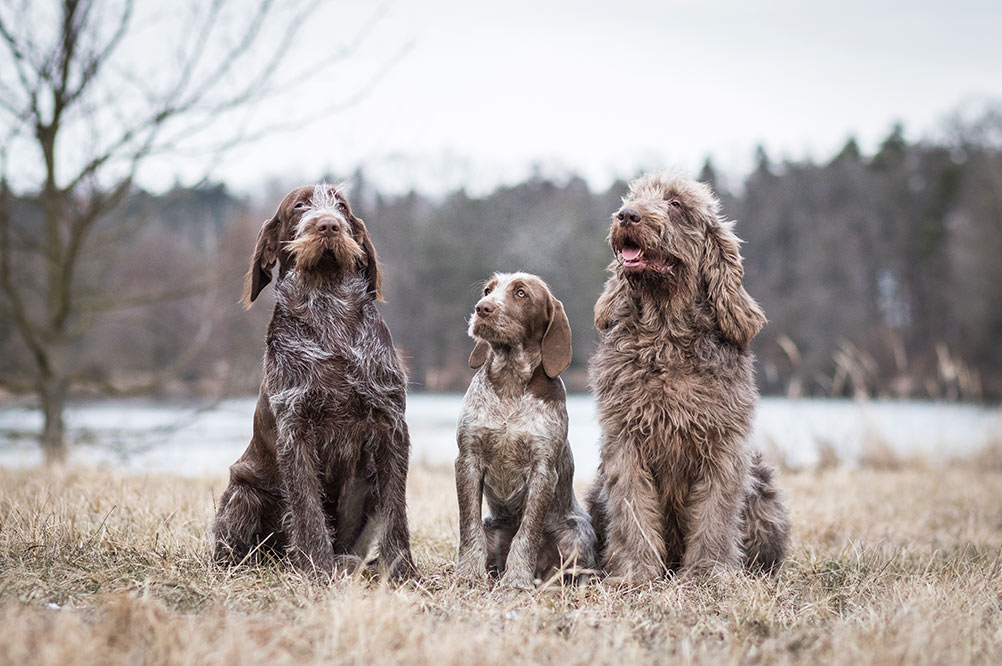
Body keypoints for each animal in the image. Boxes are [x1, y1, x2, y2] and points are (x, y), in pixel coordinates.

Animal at [211, 184, 414, 580]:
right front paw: (316, 569)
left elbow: (396, 509)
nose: (328, 225)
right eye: (299, 206)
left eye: (342, 207)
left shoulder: (390, 425)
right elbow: (307, 510)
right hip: (243, 493)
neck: (328, 309)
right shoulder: (296, 431)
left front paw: (402, 571)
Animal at [458, 272, 597, 588]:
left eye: (521, 293)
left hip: (576, 533)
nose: (482, 308)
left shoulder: (543, 470)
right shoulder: (468, 460)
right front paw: (468, 572)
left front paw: (517, 578)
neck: (510, 380)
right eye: (488, 290)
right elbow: (468, 526)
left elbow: (527, 533)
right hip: (493, 528)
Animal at [585, 171, 789, 580]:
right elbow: (632, 510)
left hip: (763, 487)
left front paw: (709, 571)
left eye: (676, 203)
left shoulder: (724, 445)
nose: (627, 216)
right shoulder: (625, 442)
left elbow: (715, 513)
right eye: (633, 198)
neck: (666, 334)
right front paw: (635, 571)